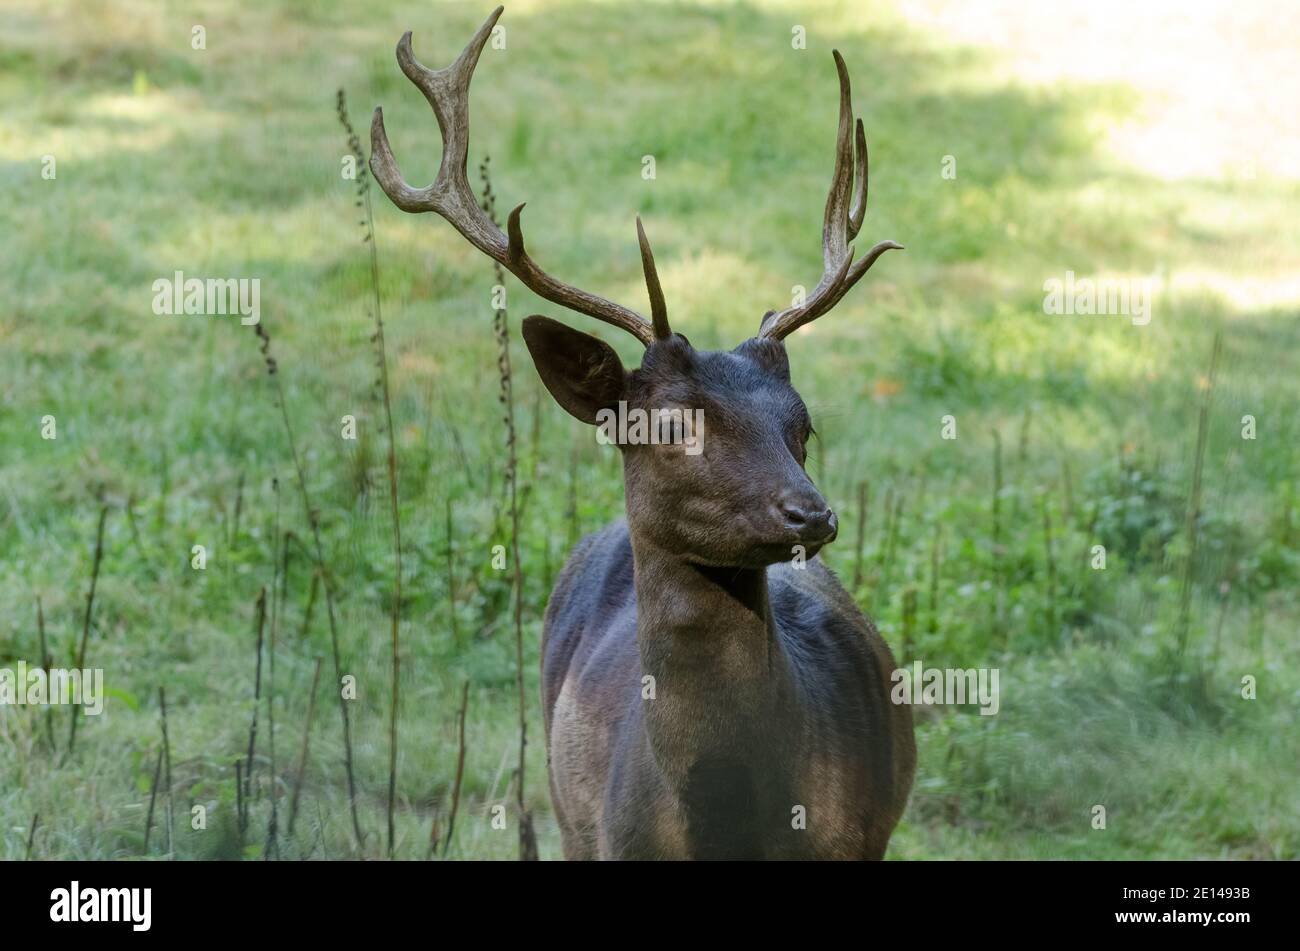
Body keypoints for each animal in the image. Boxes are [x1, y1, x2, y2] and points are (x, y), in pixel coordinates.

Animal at [370, 5, 916, 860]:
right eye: (667, 423)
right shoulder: (611, 838)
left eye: (801, 425)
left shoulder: (858, 839)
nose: (811, 512)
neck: (727, 826)